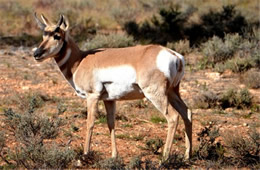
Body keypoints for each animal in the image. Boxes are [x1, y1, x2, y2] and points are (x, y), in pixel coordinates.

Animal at [33, 13, 191, 161]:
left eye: (57, 36)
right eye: (43, 35)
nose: (36, 53)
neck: (80, 61)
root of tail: (175, 55)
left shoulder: (92, 96)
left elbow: (90, 123)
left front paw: (85, 154)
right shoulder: (109, 100)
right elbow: (111, 124)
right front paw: (114, 155)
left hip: (156, 95)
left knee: (173, 117)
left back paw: (164, 158)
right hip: (172, 92)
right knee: (187, 113)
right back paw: (187, 156)